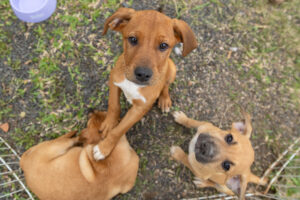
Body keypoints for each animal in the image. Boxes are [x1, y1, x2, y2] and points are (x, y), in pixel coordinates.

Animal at [93, 8, 197, 161]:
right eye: (133, 39)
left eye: (163, 45)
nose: (143, 74)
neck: (134, 85)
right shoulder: (114, 81)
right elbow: (113, 106)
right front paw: (109, 124)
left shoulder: (140, 108)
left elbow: (119, 130)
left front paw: (104, 148)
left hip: (172, 69)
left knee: (165, 85)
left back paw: (164, 100)